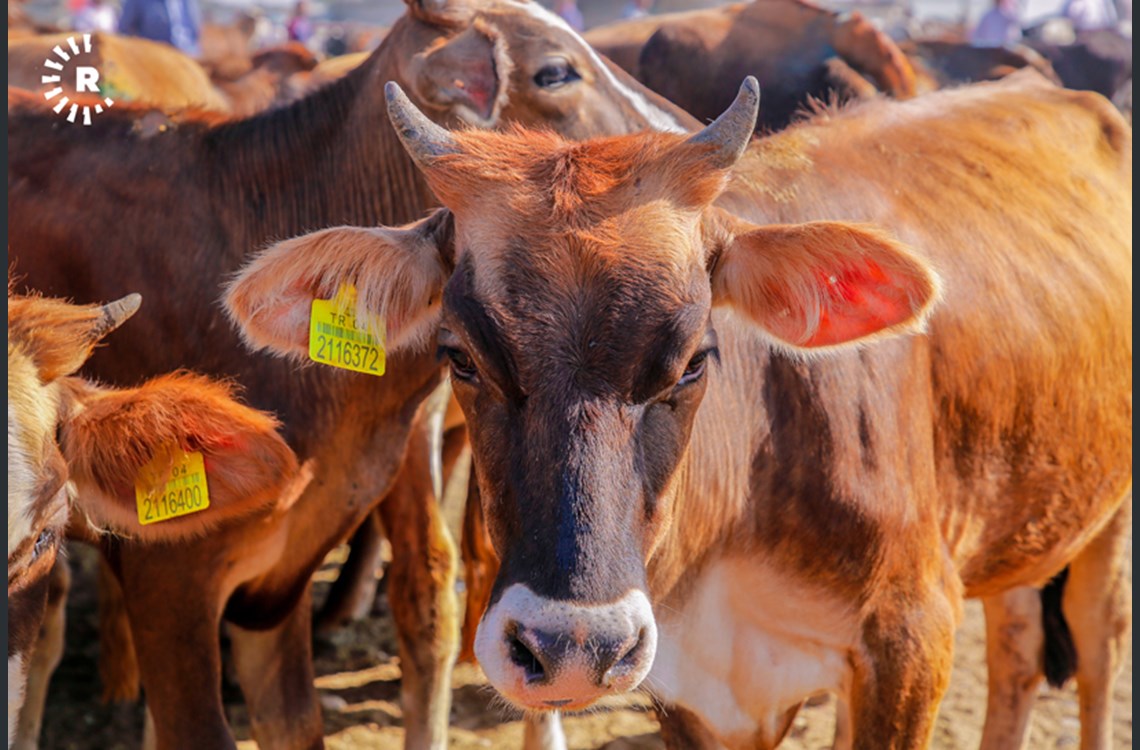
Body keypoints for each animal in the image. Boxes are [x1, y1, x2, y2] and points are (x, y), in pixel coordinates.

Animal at [224, 71, 1130, 747]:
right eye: (460, 356)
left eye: (695, 358)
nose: (572, 648)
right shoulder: (693, 692)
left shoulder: (910, 645)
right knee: (1019, 647)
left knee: (1094, 641)